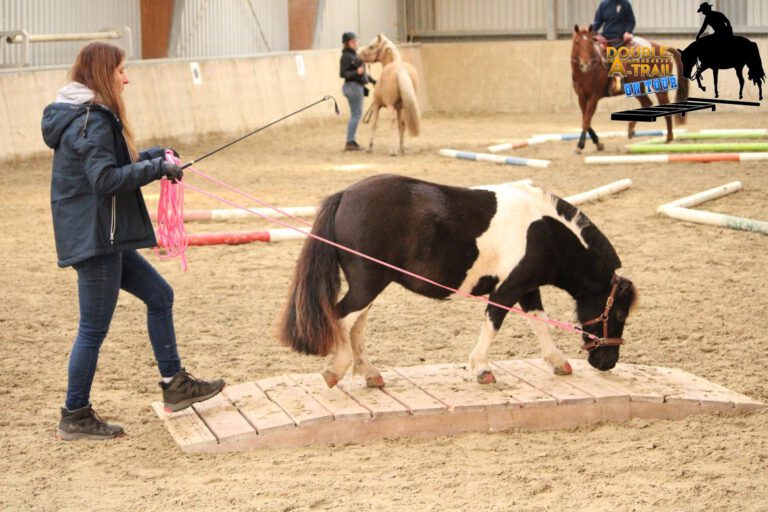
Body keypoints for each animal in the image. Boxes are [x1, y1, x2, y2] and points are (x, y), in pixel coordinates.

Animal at [568, 24, 688, 152]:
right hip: (637, 87)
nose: (585, 65)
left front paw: (580, 145)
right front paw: (598, 143)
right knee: (646, 103)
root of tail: (661, 47)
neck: (587, 73)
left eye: (590, 42)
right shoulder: (581, 98)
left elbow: (586, 121)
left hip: (659, 85)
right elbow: (585, 119)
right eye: (577, 42)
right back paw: (631, 130)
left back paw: (669, 138)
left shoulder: (594, 98)